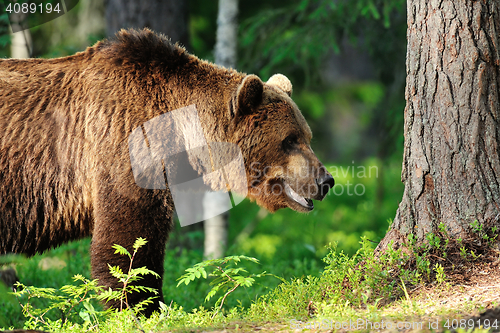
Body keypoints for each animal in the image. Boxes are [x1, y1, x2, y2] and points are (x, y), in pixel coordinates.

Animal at [0, 28, 336, 314]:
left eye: (306, 136)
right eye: (289, 140)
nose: (326, 180)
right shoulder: (125, 142)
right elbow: (129, 241)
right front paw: (144, 307)